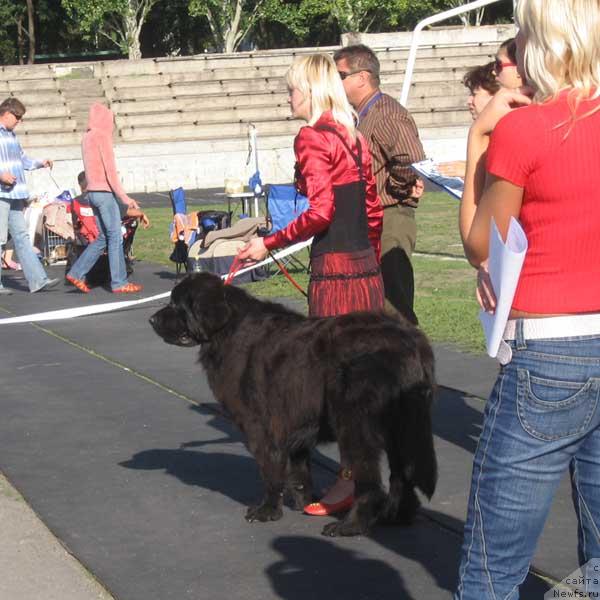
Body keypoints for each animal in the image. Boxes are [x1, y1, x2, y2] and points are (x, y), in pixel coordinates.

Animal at [150, 274, 436, 536]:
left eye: (176, 305)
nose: (151, 319)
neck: (226, 331)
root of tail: (411, 340)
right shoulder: (295, 421)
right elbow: (299, 470)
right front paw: (305, 502)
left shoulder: (260, 426)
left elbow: (269, 469)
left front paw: (266, 511)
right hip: (402, 427)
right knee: (403, 474)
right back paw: (395, 516)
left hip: (355, 424)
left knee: (370, 481)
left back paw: (349, 526)